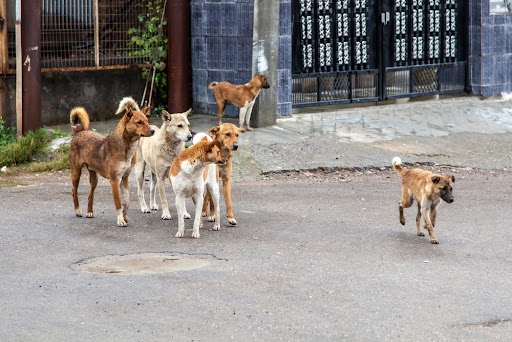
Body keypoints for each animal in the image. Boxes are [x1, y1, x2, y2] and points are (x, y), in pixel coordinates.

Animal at [70, 97, 154, 227]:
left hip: (94, 179)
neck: (126, 147)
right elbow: (118, 203)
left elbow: (127, 201)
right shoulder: (114, 180)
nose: (153, 130)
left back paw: (89, 212)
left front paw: (125, 216)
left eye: (147, 120)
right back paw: (78, 211)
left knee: (90, 195)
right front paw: (120, 220)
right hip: (76, 173)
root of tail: (79, 132)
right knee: (74, 191)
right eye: (139, 122)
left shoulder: (124, 178)